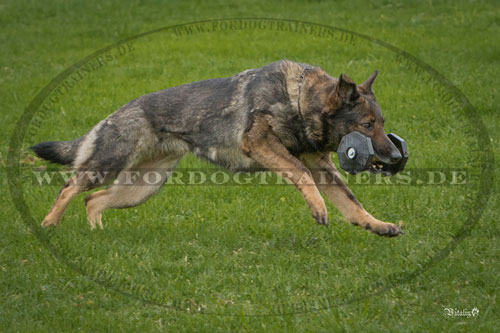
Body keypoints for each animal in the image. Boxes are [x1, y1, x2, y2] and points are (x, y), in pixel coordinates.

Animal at [31, 60, 404, 236]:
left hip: (142, 187)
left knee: (93, 200)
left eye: (382, 123)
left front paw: (379, 225)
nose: (396, 157)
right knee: (70, 187)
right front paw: (318, 207)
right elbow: (300, 173)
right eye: (367, 126)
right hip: (108, 166)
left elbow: (353, 204)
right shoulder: (261, 144)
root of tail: (117, 112)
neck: (298, 101)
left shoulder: (323, 168)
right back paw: (49, 225)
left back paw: (96, 233)